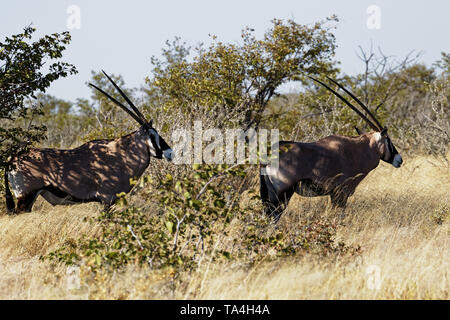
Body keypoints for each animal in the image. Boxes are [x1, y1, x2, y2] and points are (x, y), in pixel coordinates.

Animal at [5, 71, 174, 214]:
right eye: (152, 135)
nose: (170, 152)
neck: (121, 154)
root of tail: (13, 159)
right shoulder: (106, 199)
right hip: (25, 197)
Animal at [260, 77, 404, 221]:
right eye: (388, 140)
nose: (400, 160)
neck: (358, 150)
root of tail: (269, 158)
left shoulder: (334, 194)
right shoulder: (341, 192)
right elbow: (339, 215)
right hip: (283, 194)